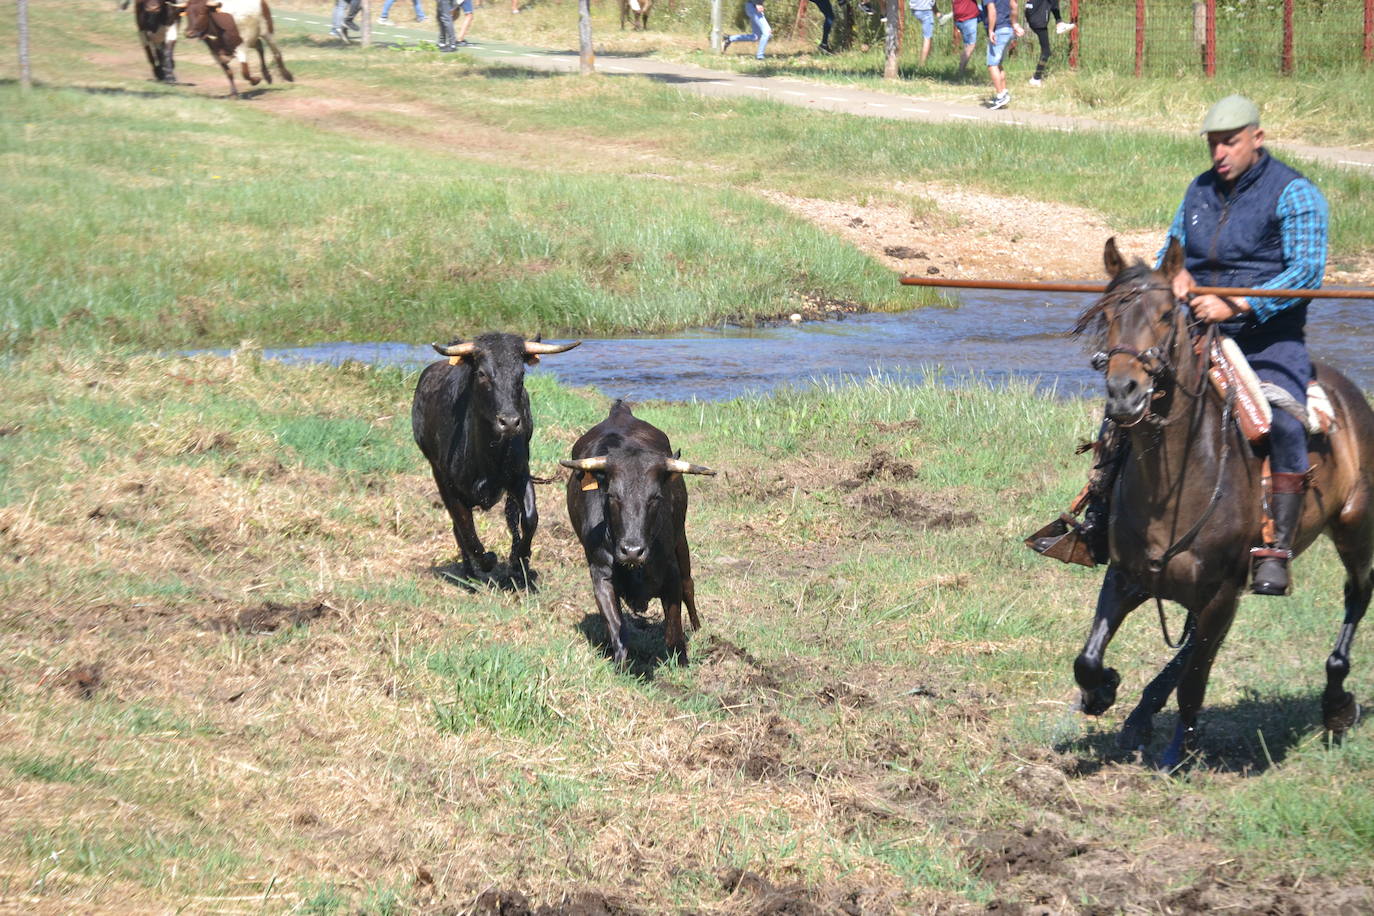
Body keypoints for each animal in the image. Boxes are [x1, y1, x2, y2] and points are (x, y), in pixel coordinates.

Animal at [406, 333, 579, 585]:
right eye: (482, 373)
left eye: (521, 374)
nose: (509, 422)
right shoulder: (446, 483)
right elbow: (465, 528)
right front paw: (488, 560)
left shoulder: (521, 474)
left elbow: (530, 518)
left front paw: (519, 558)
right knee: (459, 529)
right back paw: (470, 574)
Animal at [560, 401, 719, 667]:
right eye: (612, 495)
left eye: (655, 497)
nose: (632, 551)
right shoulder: (600, 574)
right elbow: (616, 626)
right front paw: (622, 663)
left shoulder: (671, 573)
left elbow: (673, 626)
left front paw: (681, 661)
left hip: (681, 540)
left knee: (689, 584)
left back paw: (698, 627)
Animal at [1071, 240, 1374, 769]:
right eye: (1107, 314)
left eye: (1167, 314)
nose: (1123, 393)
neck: (1174, 487)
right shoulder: (1127, 576)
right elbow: (1088, 658)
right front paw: (1103, 691)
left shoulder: (1220, 594)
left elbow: (1195, 681)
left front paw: (1179, 752)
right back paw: (1139, 717)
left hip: (1354, 526)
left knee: (1358, 593)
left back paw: (1337, 705)